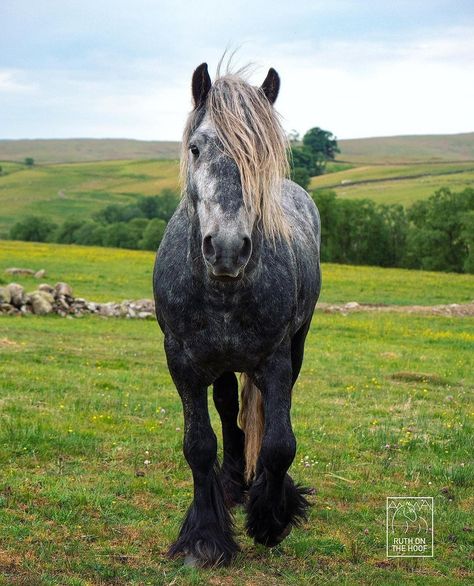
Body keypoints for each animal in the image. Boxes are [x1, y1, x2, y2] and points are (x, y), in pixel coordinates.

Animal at [154, 61, 320, 564]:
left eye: (263, 156)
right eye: (196, 148)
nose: (227, 249)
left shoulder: (276, 358)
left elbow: (280, 444)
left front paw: (270, 518)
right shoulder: (182, 361)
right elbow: (198, 445)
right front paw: (205, 537)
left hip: (296, 343)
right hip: (220, 361)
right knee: (228, 407)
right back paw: (230, 483)